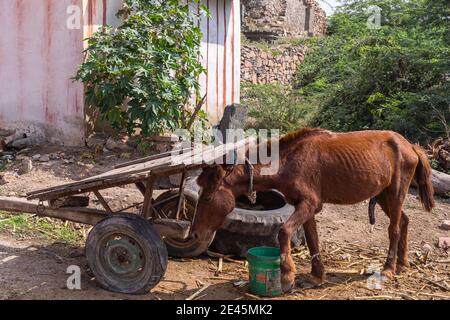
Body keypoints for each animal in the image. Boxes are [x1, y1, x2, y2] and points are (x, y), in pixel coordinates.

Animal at [191, 128, 436, 292]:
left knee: (394, 229)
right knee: (403, 221)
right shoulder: (305, 207)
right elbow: (312, 240)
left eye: (208, 197)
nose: (194, 233)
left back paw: (388, 268)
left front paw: (287, 274)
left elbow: (284, 232)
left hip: (395, 194)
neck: (289, 160)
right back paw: (403, 263)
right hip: (385, 196)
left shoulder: (309, 204)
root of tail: (410, 145)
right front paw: (317, 276)